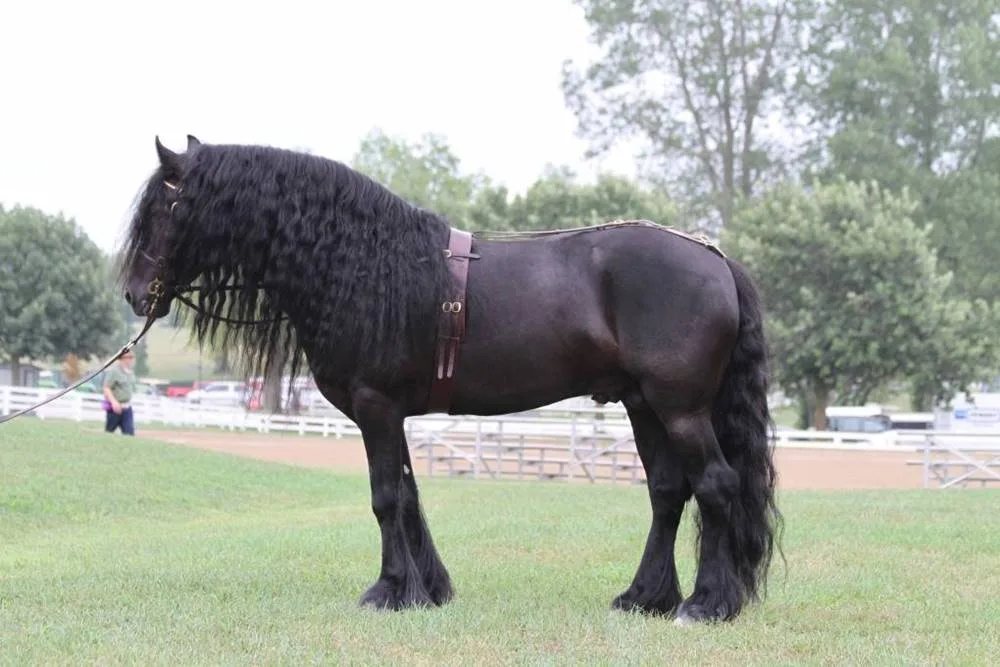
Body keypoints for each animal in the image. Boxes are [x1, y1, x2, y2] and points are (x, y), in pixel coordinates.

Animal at [117, 135, 781, 624]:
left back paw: (705, 604)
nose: (133, 294)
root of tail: (715, 259)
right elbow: (408, 495)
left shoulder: (376, 406)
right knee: (668, 493)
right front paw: (425, 589)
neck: (361, 261)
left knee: (716, 484)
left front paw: (388, 590)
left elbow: (385, 496)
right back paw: (645, 597)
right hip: (644, 406)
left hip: (680, 408)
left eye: (164, 208)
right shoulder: (390, 413)